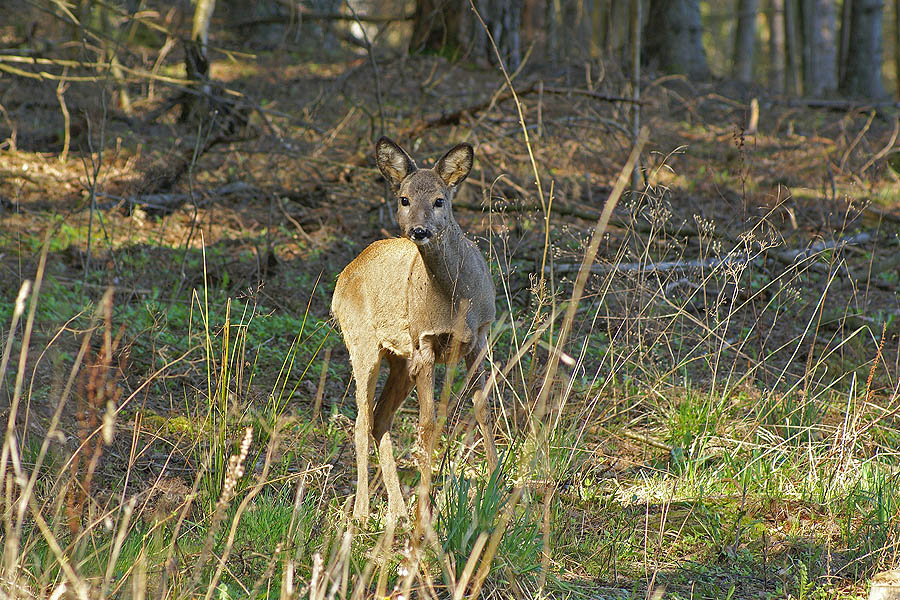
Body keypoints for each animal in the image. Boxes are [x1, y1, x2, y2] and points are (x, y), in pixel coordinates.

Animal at [330, 137, 500, 524]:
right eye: (404, 199)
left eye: (439, 200)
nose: (418, 231)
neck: (455, 301)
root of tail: (344, 273)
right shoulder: (424, 343)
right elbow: (427, 426)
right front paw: (427, 509)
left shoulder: (479, 337)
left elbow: (483, 410)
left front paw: (499, 494)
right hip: (362, 344)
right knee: (361, 420)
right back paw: (363, 512)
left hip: (400, 360)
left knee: (380, 418)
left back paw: (398, 510)